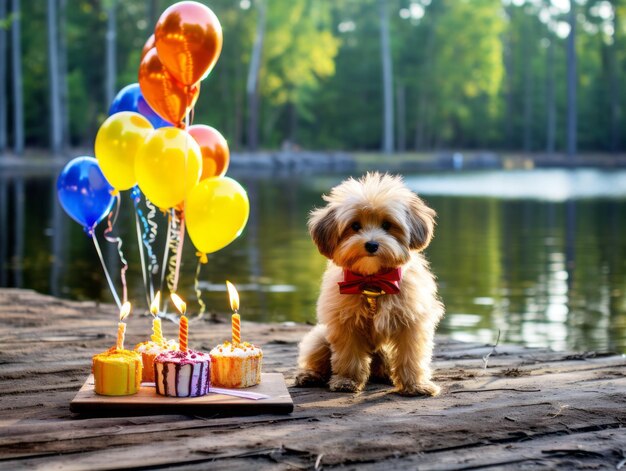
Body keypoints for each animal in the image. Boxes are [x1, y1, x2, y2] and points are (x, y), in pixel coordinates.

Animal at [294, 171, 444, 396]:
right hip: (319, 337)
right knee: (318, 360)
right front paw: (346, 381)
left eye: (387, 225)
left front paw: (415, 385)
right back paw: (309, 376)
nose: (372, 244)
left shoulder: (412, 323)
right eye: (355, 226)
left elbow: (411, 356)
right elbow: (348, 356)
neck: (372, 279)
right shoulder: (345, 323)